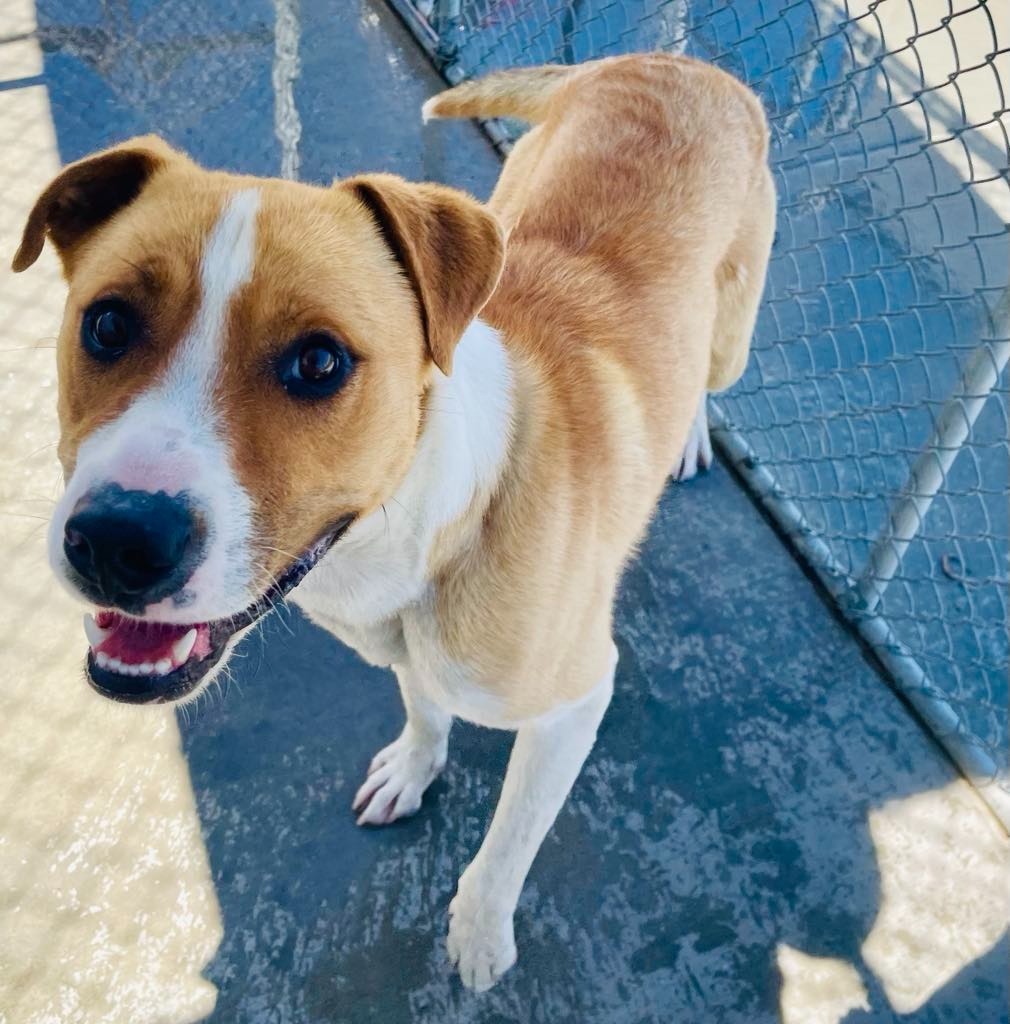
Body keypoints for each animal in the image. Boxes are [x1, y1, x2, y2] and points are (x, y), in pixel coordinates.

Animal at [13, 51, 770, 987]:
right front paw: (415, 765)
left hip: (732, 331)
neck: (437, 520)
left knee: (714, 376)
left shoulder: (577, 701)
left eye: (319, 362)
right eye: (108, 322)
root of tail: (669, 59)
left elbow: (509, 841)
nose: (120, 541)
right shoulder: (406, 650)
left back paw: (692, 431)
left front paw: (479, 933)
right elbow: (423, 705)